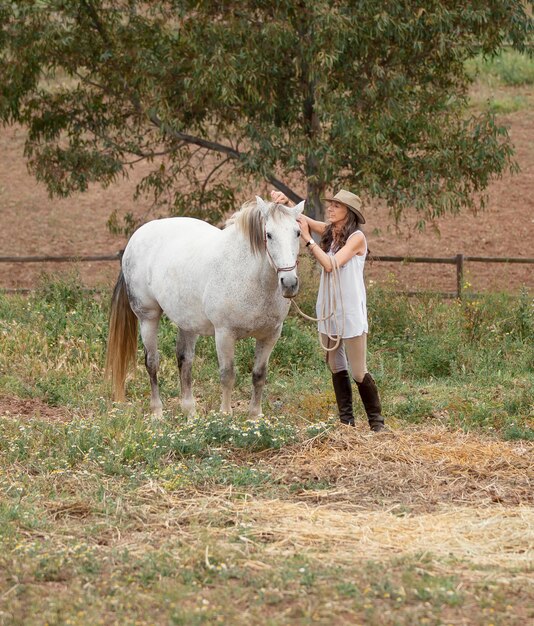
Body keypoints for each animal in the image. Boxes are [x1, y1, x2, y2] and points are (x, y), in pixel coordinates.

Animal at [105, 197, 306, 416]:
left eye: (297, 232)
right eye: (269, 235)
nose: (289, 283)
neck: (249, 275)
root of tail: (134, 240)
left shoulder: (270, 335)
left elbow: (259, 375)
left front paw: (255, 416)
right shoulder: (224, 334)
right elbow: (227, 375)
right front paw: (225, 414)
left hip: (187, 323)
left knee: (184, 360)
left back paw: (190, 412)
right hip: (148, 318)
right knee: (152, 363)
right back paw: (157, 413)